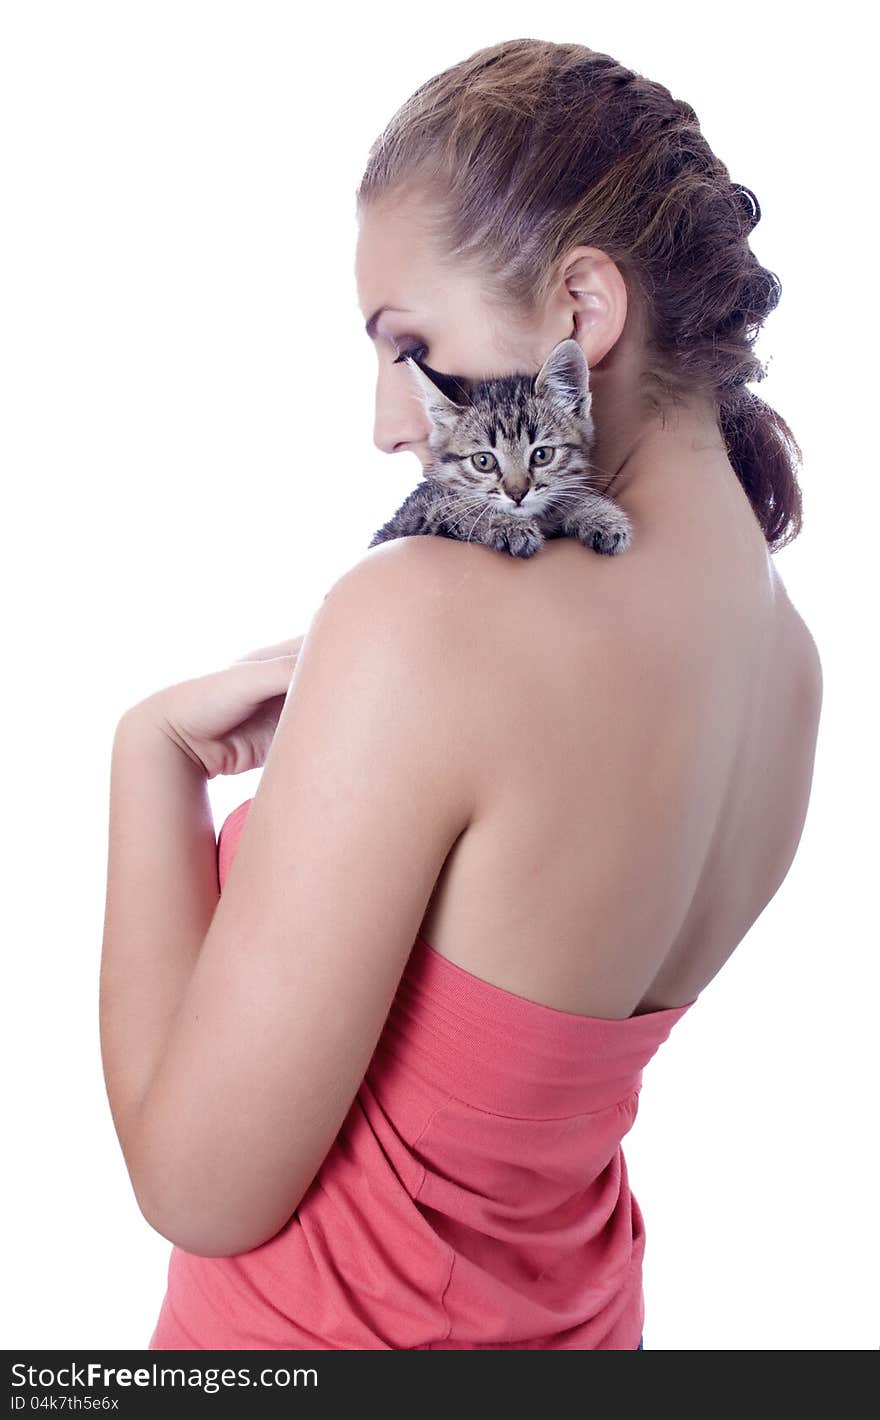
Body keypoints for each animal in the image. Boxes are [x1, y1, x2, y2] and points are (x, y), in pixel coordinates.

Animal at [366, 337, 633, 559]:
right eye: (483, 461)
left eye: (542, 455)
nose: (517, 494)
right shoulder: (414, 515)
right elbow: (456, 508)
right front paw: (507, 525)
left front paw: (601, 515)